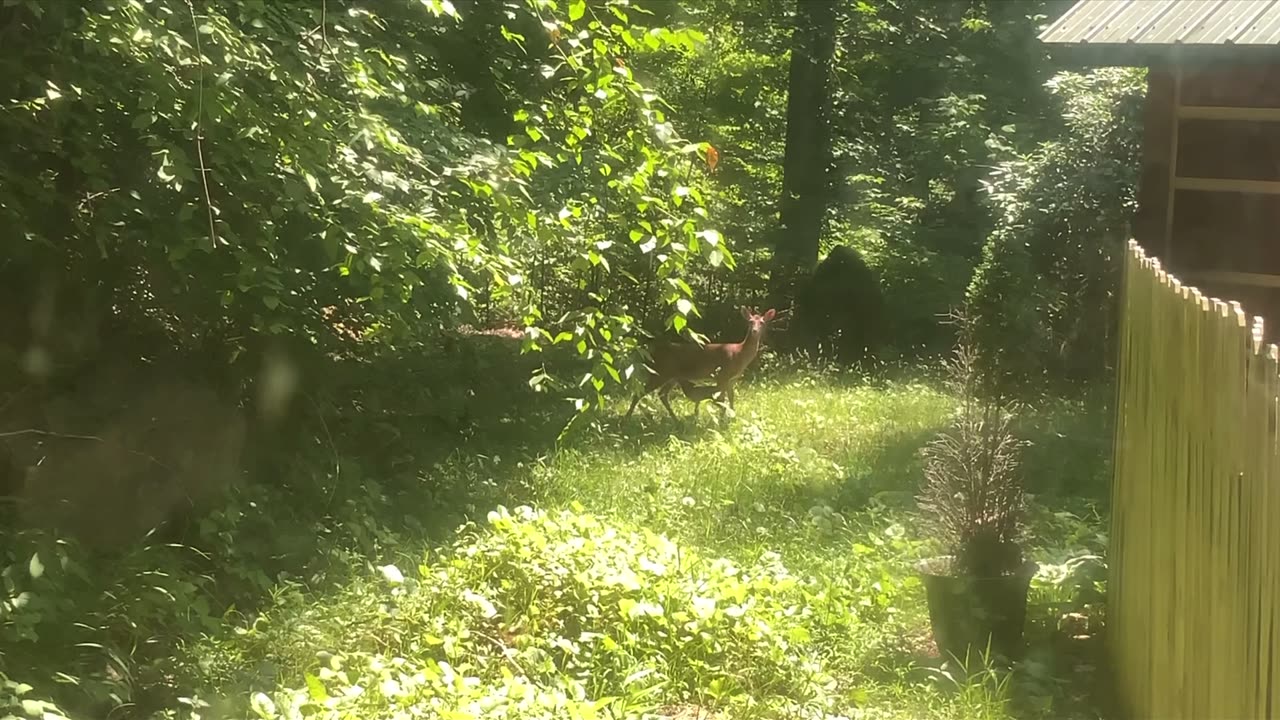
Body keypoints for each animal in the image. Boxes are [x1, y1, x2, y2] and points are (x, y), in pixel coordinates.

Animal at [622, 303, 778, 420]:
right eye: (750, 322)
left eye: (762, 322)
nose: (755, 331)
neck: (740, 354)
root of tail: (654, 353)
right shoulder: (722, 375)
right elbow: (721, 399)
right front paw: (722, 419)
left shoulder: (732, 379)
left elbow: (731, 398)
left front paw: (732, 416)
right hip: (661, 372)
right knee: (640, 392)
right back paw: (626, 418)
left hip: (672, 376)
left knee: (662, 394)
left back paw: (675, 419)